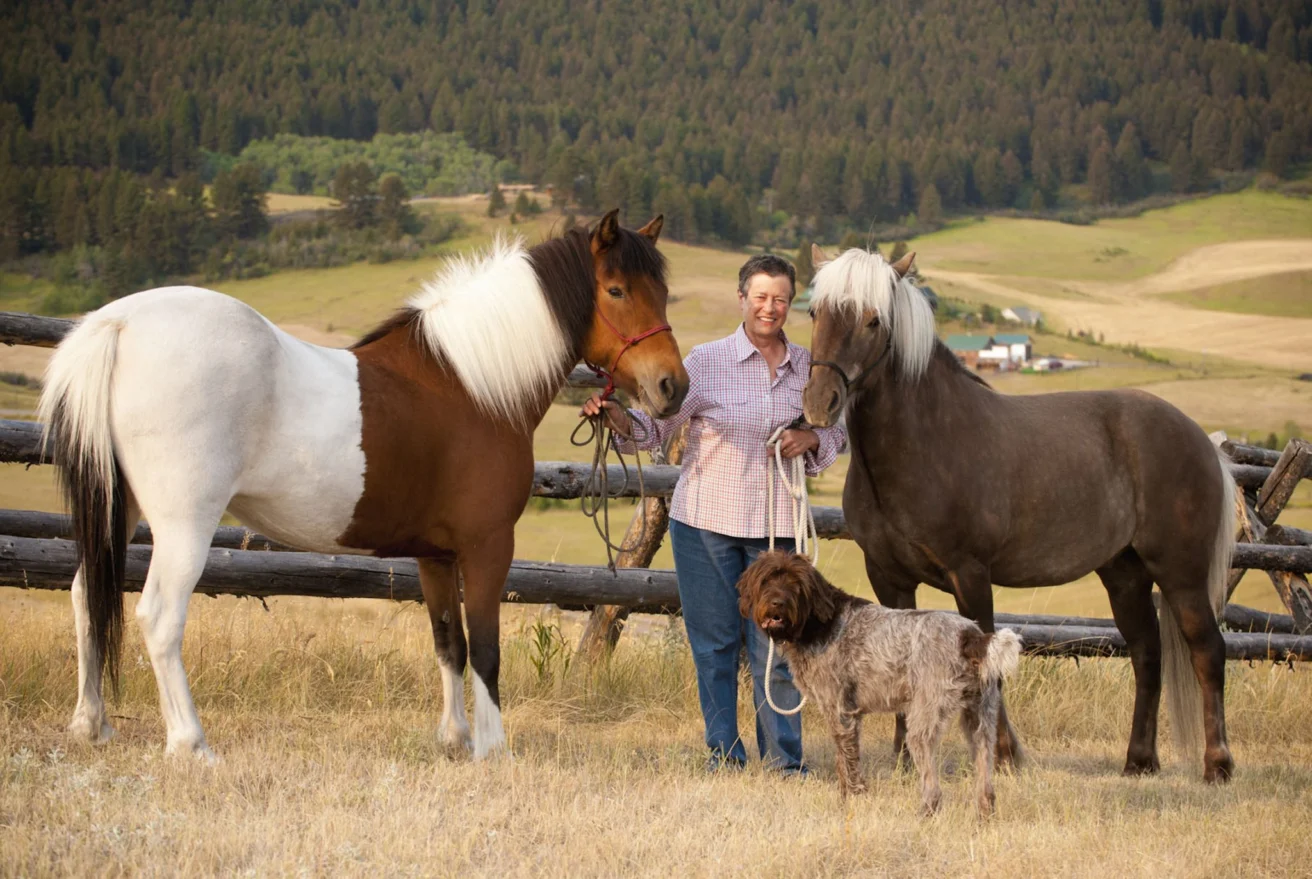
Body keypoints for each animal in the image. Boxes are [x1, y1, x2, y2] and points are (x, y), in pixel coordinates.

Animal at [39, 211, 687, 766]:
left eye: (661, 292)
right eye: (617, 291)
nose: (671, 387)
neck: (472, 385)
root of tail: (119, 324)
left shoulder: (435, 556)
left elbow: (448, 642)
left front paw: (453, 740)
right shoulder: (487, 546)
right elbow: (485, 646)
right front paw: (493, 748)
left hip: (118, 508)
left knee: (85, 595)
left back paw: (92, 725)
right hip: (184, 523)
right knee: (159, 617)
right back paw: (191, 743)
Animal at [739, 551, 1023, 818]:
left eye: (796, 583)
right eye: (767, 580)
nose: (777, 603)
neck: (818, 622)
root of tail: (971, 636)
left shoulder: (841, 713)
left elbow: (847, 762)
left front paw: (853, 799)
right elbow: (843, 761)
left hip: (922, 722)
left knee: (932, 784)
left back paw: (925, 814)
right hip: (980, 720)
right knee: (985, 778)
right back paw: (984, 815)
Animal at [797, 246, 1238, 787]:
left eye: (873, 319)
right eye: (815, 313)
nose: (820, 404)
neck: (926, 442)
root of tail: (1202, 440)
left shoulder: (970, 574)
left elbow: (986, 662)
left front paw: (1002, 756)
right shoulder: (888, 577)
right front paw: (903, 759)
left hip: (1181, 575)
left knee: (1207, 651)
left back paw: (1217, 765)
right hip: (1125, 575)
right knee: (1146, 654)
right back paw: (1138, 761)